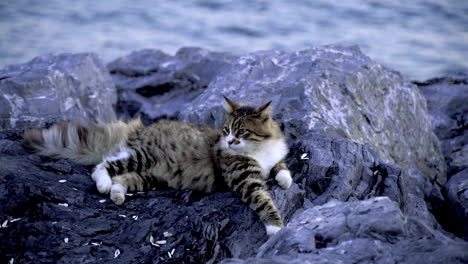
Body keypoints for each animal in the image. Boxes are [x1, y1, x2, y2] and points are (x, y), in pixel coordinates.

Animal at [22, 96, 292, 235]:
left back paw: (117, 195)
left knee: (121, 179)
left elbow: (281, 167)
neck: (259, 149)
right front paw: (276, 228)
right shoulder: (245, 179)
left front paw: (285, 179)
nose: (229, 141)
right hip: (143, 156)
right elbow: (263, 201)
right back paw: (103, 185)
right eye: (226, 130)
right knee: (102, 166)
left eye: (242, 131)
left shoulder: (273, 160)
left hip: (150, 176)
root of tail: (140, 129)